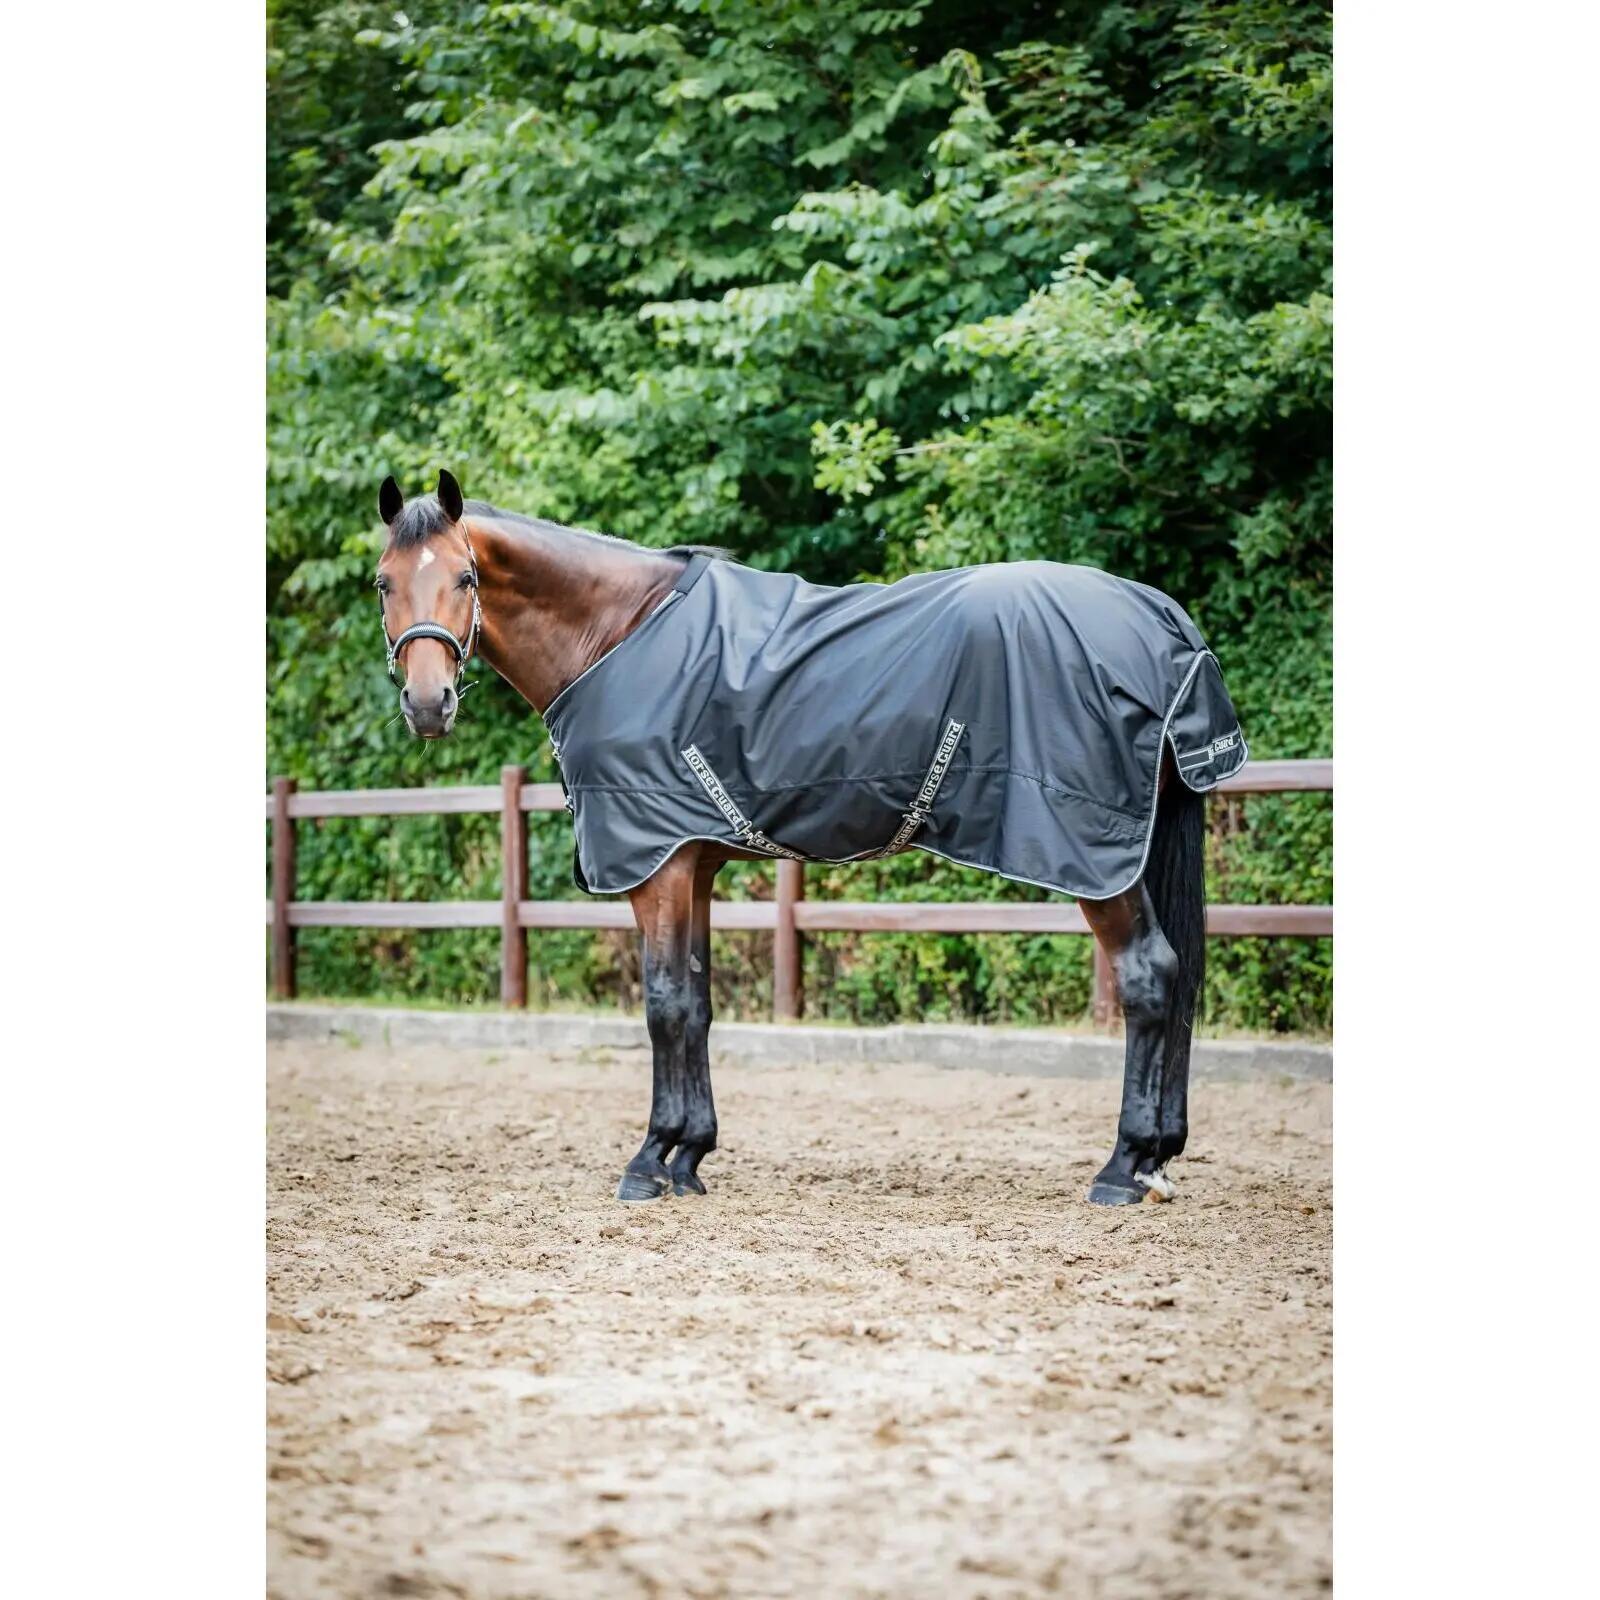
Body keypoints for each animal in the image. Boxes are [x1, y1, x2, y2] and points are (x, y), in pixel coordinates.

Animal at [373, 471, 1244, 1208]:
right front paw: (688, 1156)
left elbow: (663, 1003)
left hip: (1100, 860)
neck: (618, 634)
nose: (428, 702)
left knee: (1149, 976)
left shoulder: (656, 867)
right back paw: (1158, 1158)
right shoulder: (693, 864)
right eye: (384, 581)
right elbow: (697, 1004)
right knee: (1176, 979)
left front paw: (649, 1160)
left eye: (467, 579)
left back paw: (1123, 1168)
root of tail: (1158, 617)